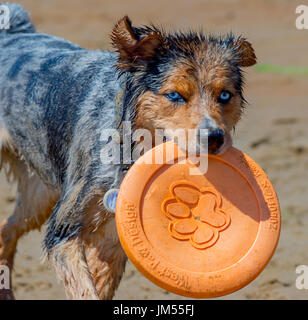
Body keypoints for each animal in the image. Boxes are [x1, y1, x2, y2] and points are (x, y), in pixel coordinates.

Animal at [0, 2, 255, 298]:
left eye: (225, 95)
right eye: (175, 95)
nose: (214, 138)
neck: (130, 147)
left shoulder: (112, 241)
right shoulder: (63, 232)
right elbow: (84, 289)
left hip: (38, 199)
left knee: (5, 230)